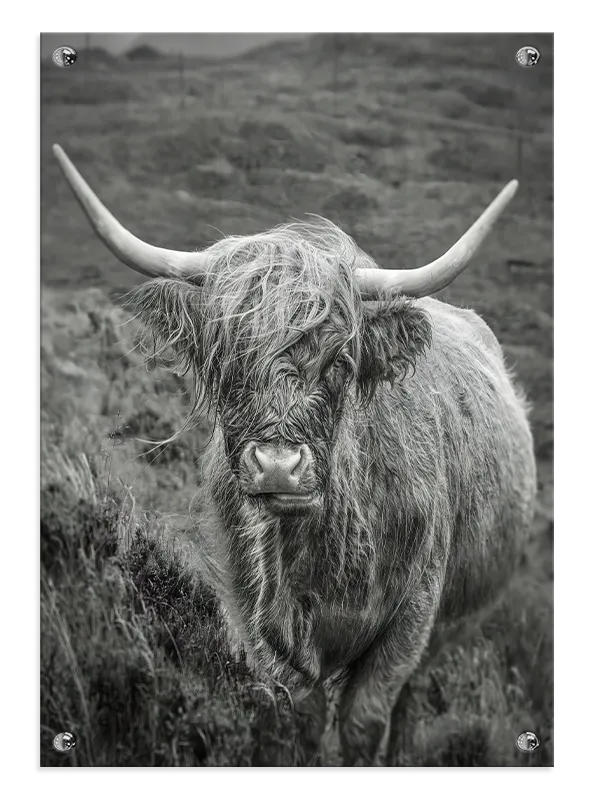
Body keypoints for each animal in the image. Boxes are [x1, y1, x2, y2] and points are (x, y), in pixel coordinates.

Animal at [53, 144, 536, 767]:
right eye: (226, 360)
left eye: (340, 362)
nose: (278, 466)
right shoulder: (256, 619)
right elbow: (301, 718)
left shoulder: (412, 617)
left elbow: (366, 719)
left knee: (411, 701)